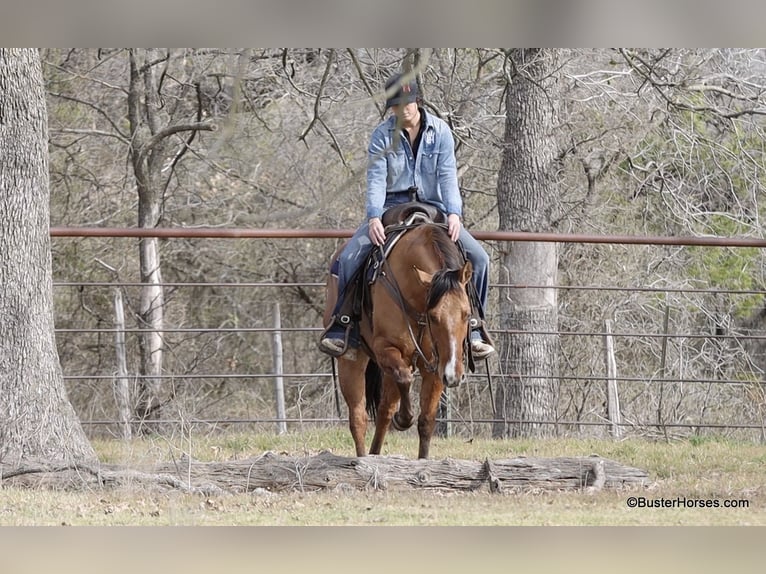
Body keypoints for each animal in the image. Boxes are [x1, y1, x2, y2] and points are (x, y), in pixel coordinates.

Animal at [320, 218, 474, 462]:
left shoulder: (436, 365)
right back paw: (362, 460)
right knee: (359, 418)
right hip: (352, 361)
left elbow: (426, 421)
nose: (454, 375)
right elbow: (405, 378)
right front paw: (403, 420)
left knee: (384, 411)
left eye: (467, 314)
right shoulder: (387, 349)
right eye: (433, 316)